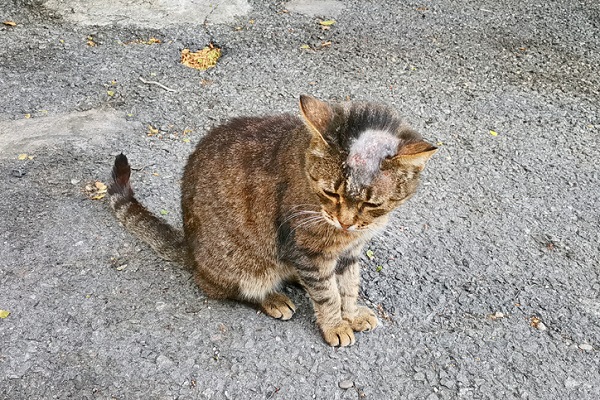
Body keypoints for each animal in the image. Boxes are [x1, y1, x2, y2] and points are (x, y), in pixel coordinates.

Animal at [108, 95, 436, 346]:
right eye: (331, 192)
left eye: (371, 203)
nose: (344, 222)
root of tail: (189, 248)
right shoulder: (308, 248)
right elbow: (328, 295)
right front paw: (335, 325)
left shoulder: (350, 251)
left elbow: (348, 286)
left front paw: (351, 314)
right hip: (243, 264)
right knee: (224, 289)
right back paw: (272, 299)